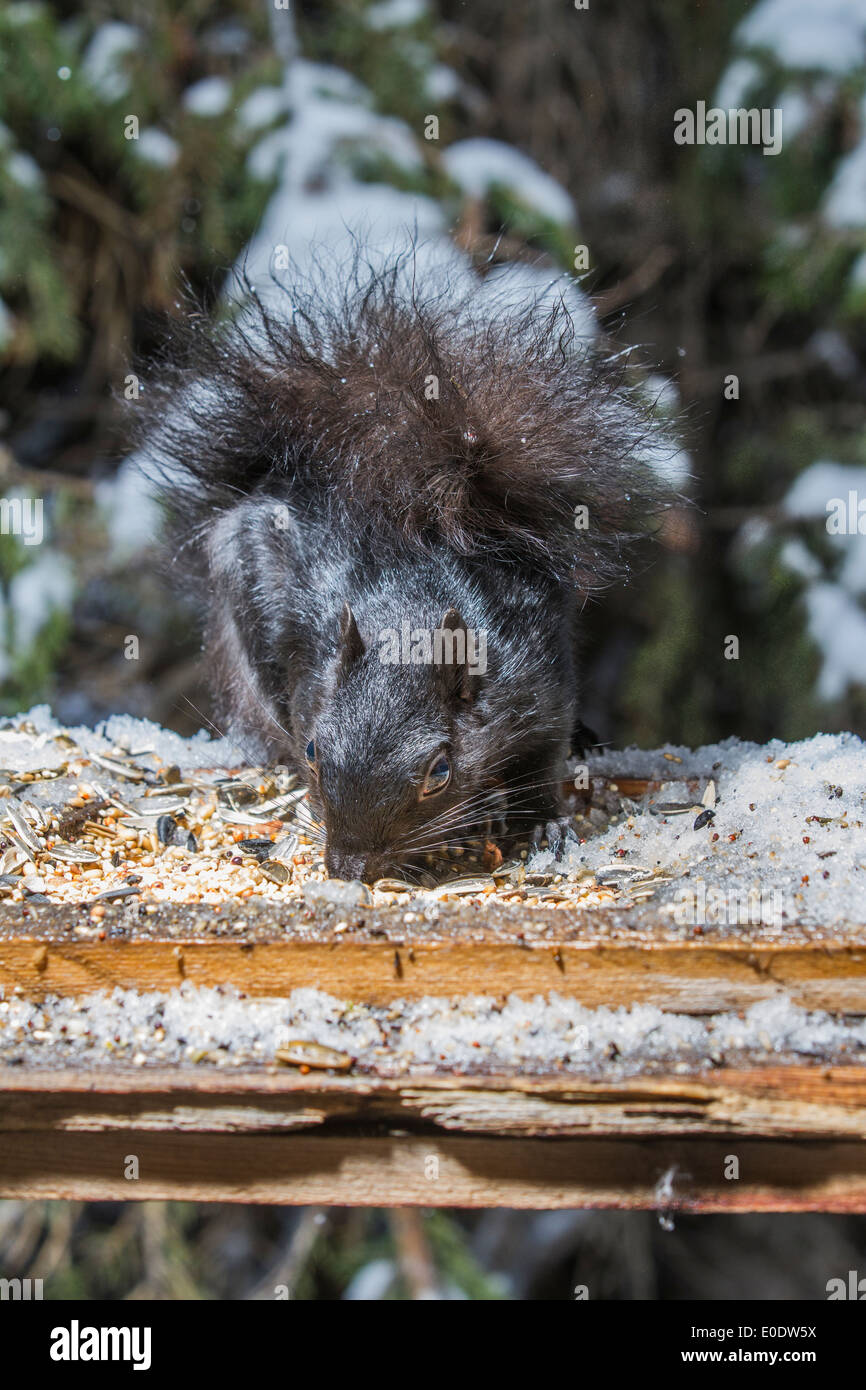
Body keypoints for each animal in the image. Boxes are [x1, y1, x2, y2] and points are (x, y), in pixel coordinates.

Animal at [143, 252, 670, 878]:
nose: (347, 868)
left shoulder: (540, 680)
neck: (406, 617)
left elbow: (542, 764)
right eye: (314, 750)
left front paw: (543, 823)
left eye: (439, 772)